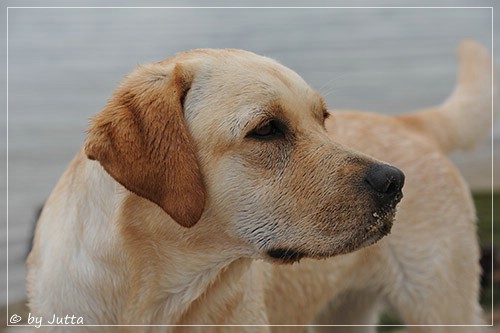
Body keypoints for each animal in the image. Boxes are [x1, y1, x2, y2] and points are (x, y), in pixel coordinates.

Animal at [25, 40, 490, 330]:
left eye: (323, 119)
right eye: (266, 129)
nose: (393, 182)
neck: (158, 296)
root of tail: (408, 122)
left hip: (440, 306)